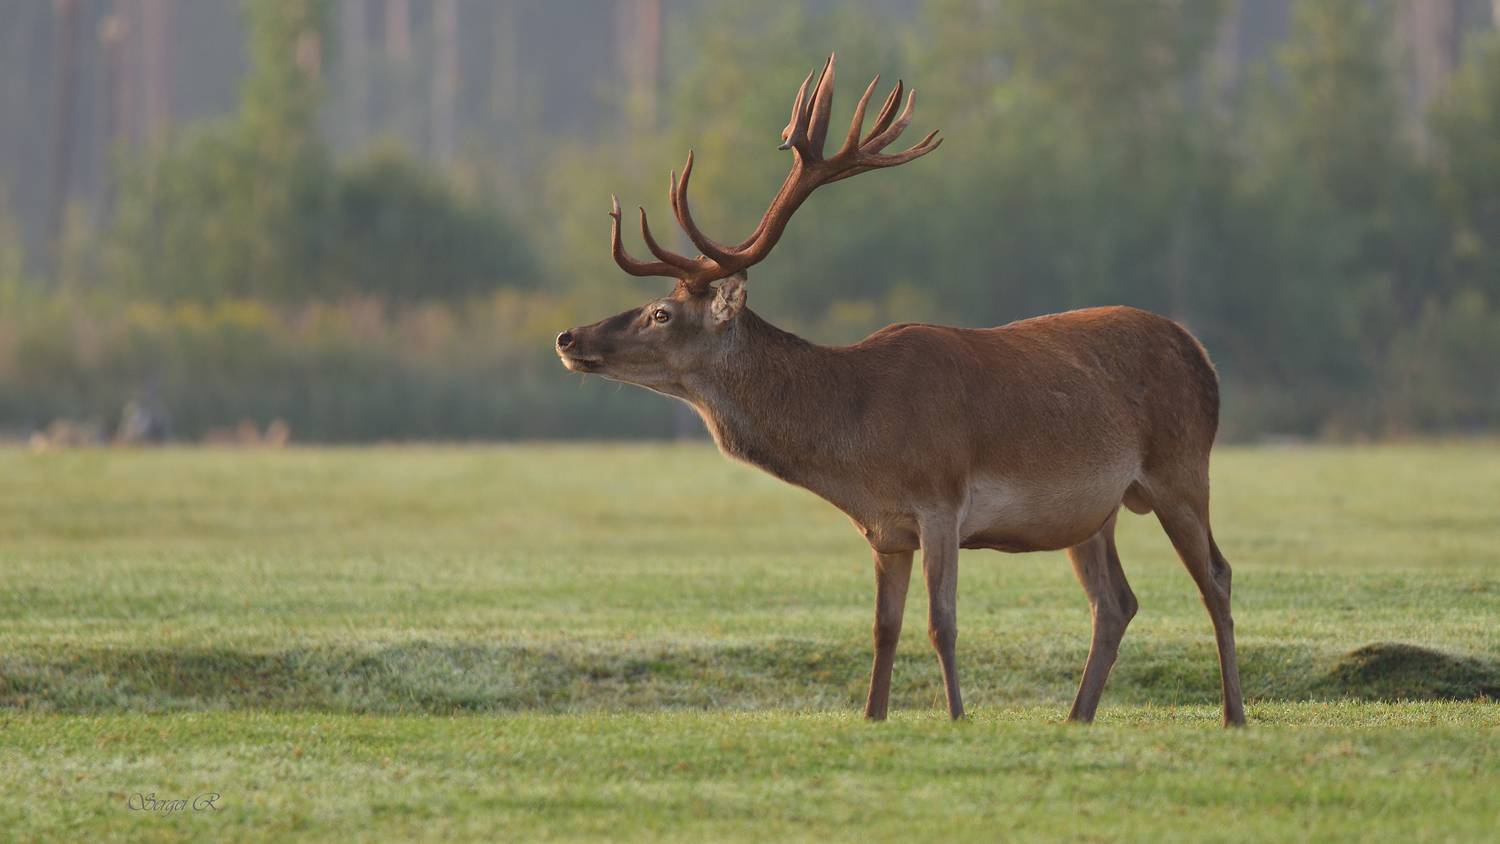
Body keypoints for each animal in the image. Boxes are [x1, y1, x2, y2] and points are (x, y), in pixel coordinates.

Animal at [555, 54, 1245, 727]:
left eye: (661, 314)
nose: (567, 337)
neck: (858, 446)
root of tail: (1203, 355)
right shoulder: (884, 528)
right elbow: (883, 629)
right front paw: (874, 717)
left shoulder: (941, 498)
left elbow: (942, 623)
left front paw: (958, 719)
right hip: (1095, 511)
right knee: (1116, 602)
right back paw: (1077, 719)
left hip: (1182, 467)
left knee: (1216, 574)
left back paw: (1233, 715)